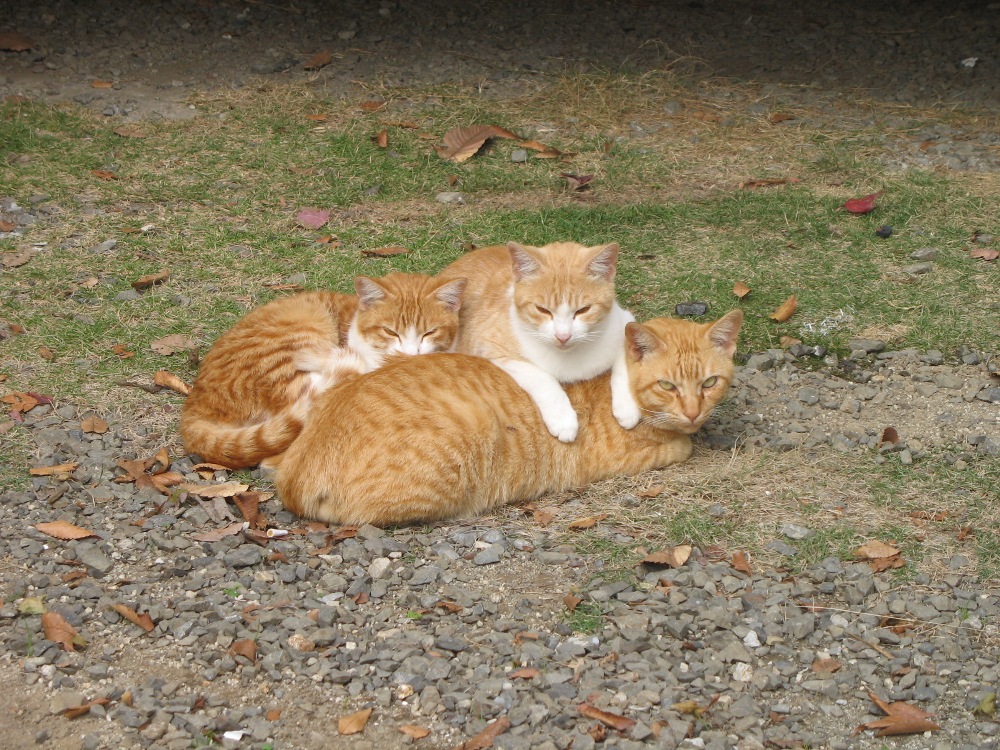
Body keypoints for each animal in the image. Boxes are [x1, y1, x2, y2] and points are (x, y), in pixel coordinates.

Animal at [438, 241, 640, 444]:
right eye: (543, 310)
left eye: (583, 310)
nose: (563, 336)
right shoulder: (489, 346)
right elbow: (541, 377)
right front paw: (563, 419)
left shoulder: (624, 321)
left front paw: (627, 407)